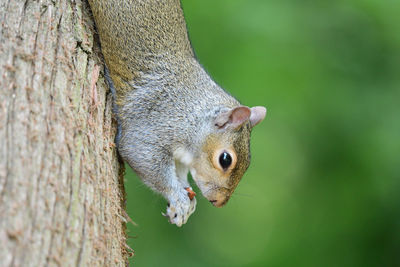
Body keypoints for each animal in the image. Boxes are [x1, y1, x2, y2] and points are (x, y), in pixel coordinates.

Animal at [89, 0, 268, 227]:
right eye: (225, 159)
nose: (219, 202)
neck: (193, 114)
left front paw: (186, 202)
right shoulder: (155, 121)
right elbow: (141, 154)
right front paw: (178, 198)